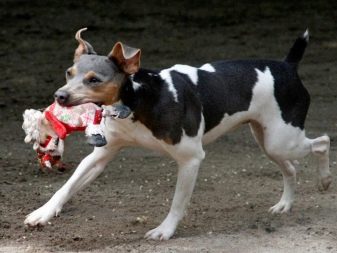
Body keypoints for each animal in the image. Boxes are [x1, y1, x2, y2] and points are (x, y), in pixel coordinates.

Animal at [25, 28, 330, 240]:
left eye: (94, 80)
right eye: (69, 72)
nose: (60, 96)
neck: (138, 99)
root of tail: (287, 65)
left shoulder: (190, 159)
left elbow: (177, 202)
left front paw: (165, 231)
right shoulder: (100, 156)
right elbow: (67, 187)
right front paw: (43, 213)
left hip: (281, 140)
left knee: (323, 143)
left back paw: (325, 181)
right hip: (268, 142)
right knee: (291, 168)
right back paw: (285, 205)